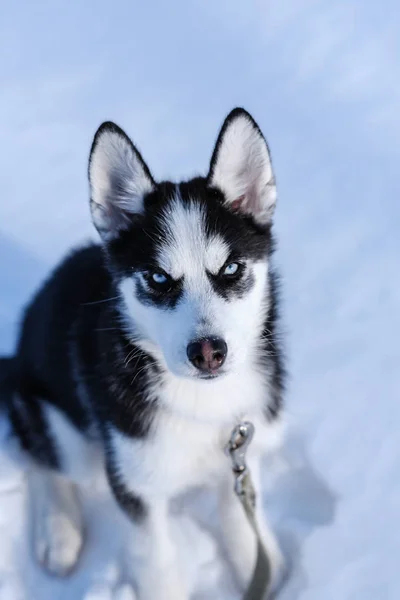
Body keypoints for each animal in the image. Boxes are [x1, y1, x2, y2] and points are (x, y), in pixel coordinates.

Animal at [0, 109, 288, 600]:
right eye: (157, 278)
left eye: (231, 268)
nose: (208, 352)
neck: (204, 406)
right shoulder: (135, 484)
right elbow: (157, 560)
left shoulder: (241, 454)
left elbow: (241, 520)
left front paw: (260, 564)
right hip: (64, 425)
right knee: (46, 458)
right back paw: (58, 533)